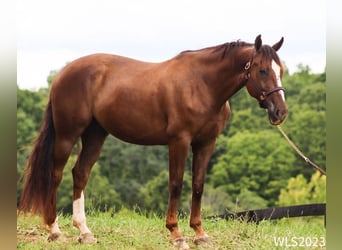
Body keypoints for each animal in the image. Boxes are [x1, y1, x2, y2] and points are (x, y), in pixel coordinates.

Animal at [18, 34, 286, 248]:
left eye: (280, 70)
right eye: (262, 70)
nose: (280, 112)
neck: (202, 85)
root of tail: (64, 73)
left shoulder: (206, 143)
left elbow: (198, 185)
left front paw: (200, 234)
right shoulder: (179, 141)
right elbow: (176, 184)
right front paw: (176, 234)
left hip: (95, 135)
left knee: (80, 173)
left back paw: (84, 232)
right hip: (67, 134)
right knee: (55, 174)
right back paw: (54, 231)